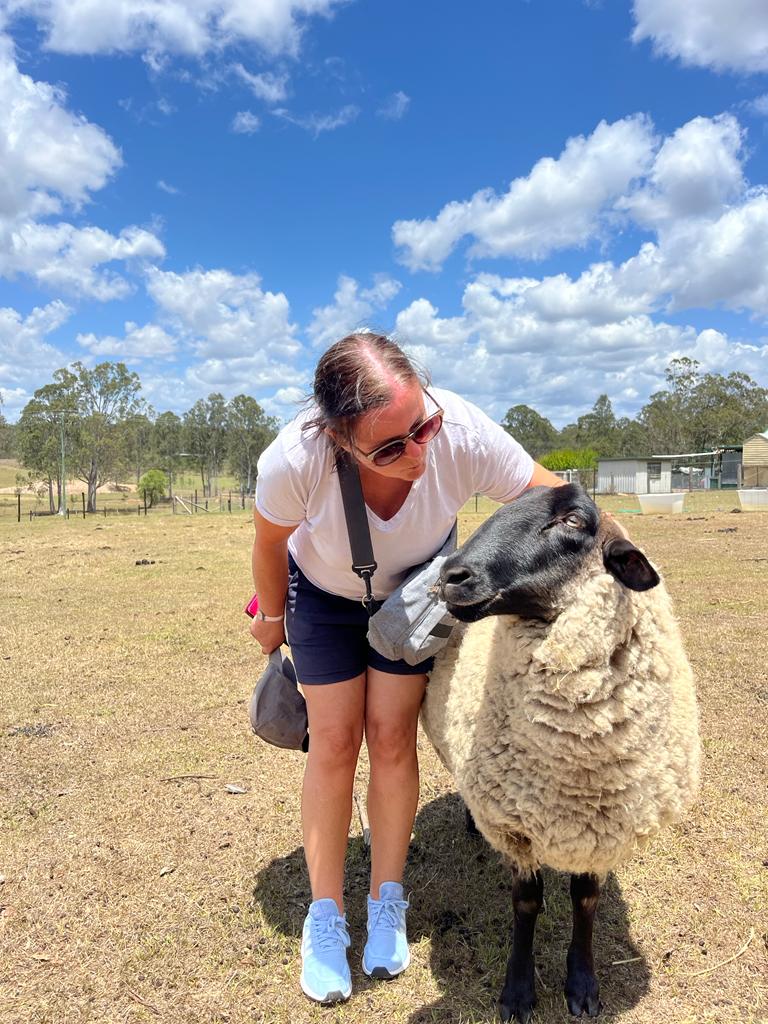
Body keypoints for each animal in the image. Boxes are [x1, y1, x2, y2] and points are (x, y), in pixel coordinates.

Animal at [423, 483, 700, 1019]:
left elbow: (586, 900)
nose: (450, 577)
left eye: (573, 520)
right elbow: (526, 904)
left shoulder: (602, 829)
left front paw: (583, 985)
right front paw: (517, 991)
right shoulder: (515, 827)